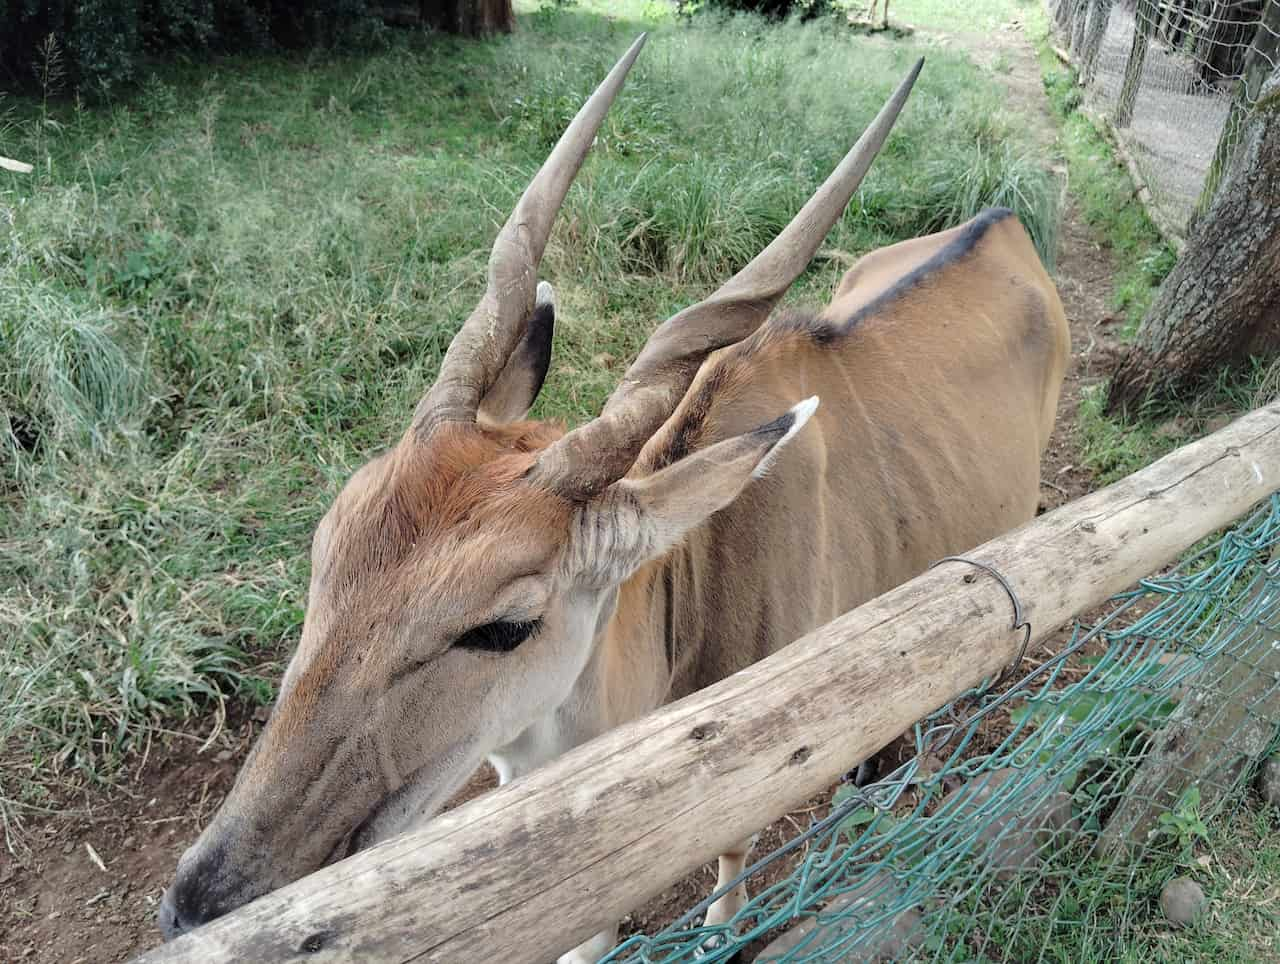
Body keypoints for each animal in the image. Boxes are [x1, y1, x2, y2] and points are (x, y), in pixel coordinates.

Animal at [154, 33, 1064, 957]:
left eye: (503, 626)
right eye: (324, 551)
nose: (199, 904)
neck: (690, 592)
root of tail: (1005, 223)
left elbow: (731, 856)